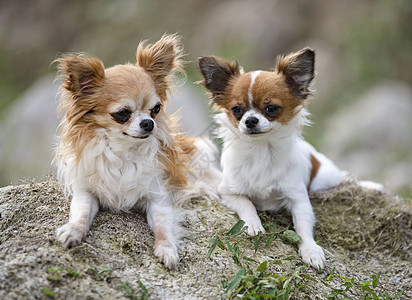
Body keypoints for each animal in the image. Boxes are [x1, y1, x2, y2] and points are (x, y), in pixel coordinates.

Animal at [54, 34, 219, 268]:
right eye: (123, 113)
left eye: (156, 109)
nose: (149, 123)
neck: (124, 150)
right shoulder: (86, 192)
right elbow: (81, 213)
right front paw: (73, 231)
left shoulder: (158, 197)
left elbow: (162, 226)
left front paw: (167, 248)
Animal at [198, 48, 346, 268]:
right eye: (237, 110)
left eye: (271, 108)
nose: (250, 120)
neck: (261, 150)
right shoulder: (228, 191)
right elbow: (247, 204)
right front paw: (252, 224)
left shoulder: (298, 198)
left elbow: (303, 227)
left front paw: (311, 250)